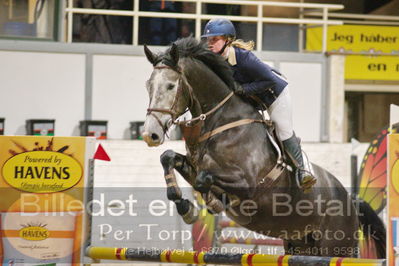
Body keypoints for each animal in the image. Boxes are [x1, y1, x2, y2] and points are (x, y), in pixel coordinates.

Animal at [141, 37, 388, 258]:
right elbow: (168, 158)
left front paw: (211, 202)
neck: (221, 122)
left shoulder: (247, 184)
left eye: (171, 86)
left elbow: (204, 179)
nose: (149, 134)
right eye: (148, 86)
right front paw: (187, 208)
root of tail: (351, 200)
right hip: (301, 244)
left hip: (337, 246)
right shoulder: (194, 165)